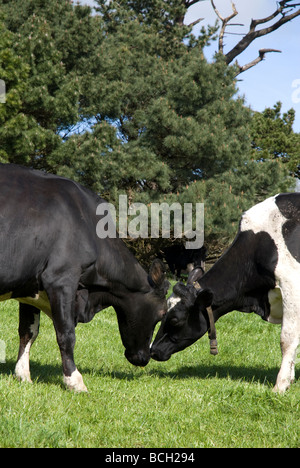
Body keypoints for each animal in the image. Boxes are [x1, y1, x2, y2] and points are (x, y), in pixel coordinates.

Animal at [0, 165, 169, 392]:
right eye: (162, 314)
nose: (144, 358)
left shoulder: (29, 287)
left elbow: (28, 331)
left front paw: (23, 375)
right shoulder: (61, 279)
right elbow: (66, 335)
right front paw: (74, 381)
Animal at [152, 192, 300, 394]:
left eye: (175, 319)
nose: (152, 350)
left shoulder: (292, 285)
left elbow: (287, 339)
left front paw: (280, 385)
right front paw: (290, 379)